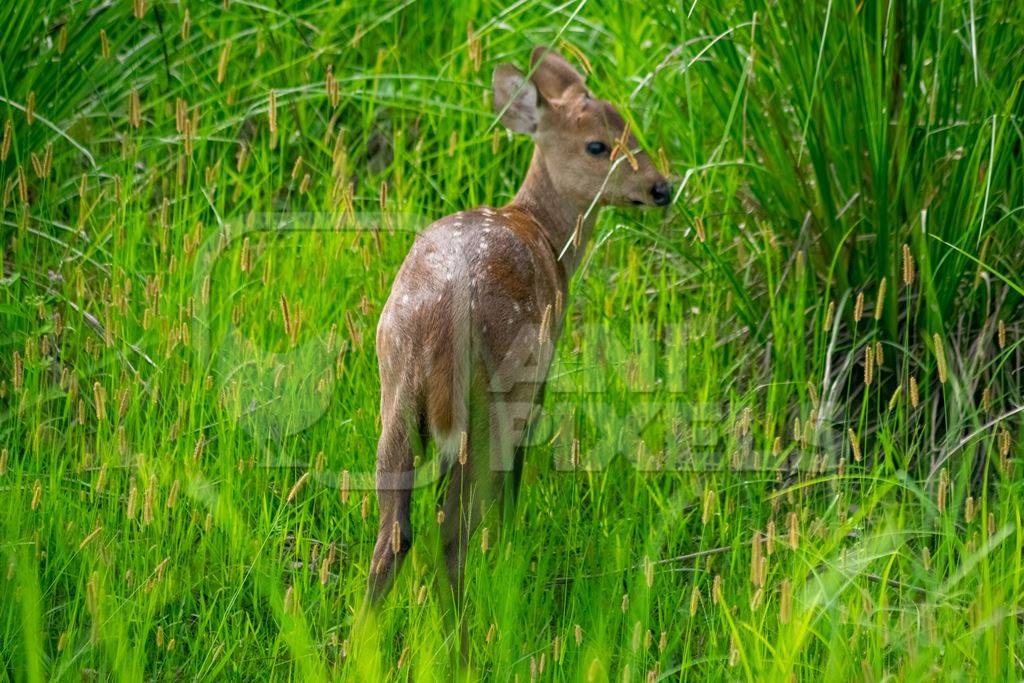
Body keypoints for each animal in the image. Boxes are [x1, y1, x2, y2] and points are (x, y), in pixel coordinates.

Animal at [366, 48, 671, 610]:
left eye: (629, 126)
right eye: (597, 145)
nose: (661, 188)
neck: (545, 232)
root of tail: (437, 325)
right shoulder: (541, 375)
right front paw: (508, 544)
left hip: (394, 397)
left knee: (393, 533)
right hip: (492, 399)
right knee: (452, 527)